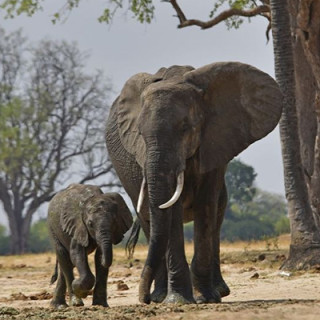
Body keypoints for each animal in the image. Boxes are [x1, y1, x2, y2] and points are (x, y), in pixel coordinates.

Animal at [105, 61, 282, 304]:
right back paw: (161, 296)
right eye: (139, 133)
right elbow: (171, 212)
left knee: (217, 215)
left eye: (184, 128)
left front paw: (205, 298)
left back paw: (217, 292)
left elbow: (206, 205)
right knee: (149, 220)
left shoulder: (215, 142)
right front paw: (178, 300)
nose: (143, 299)